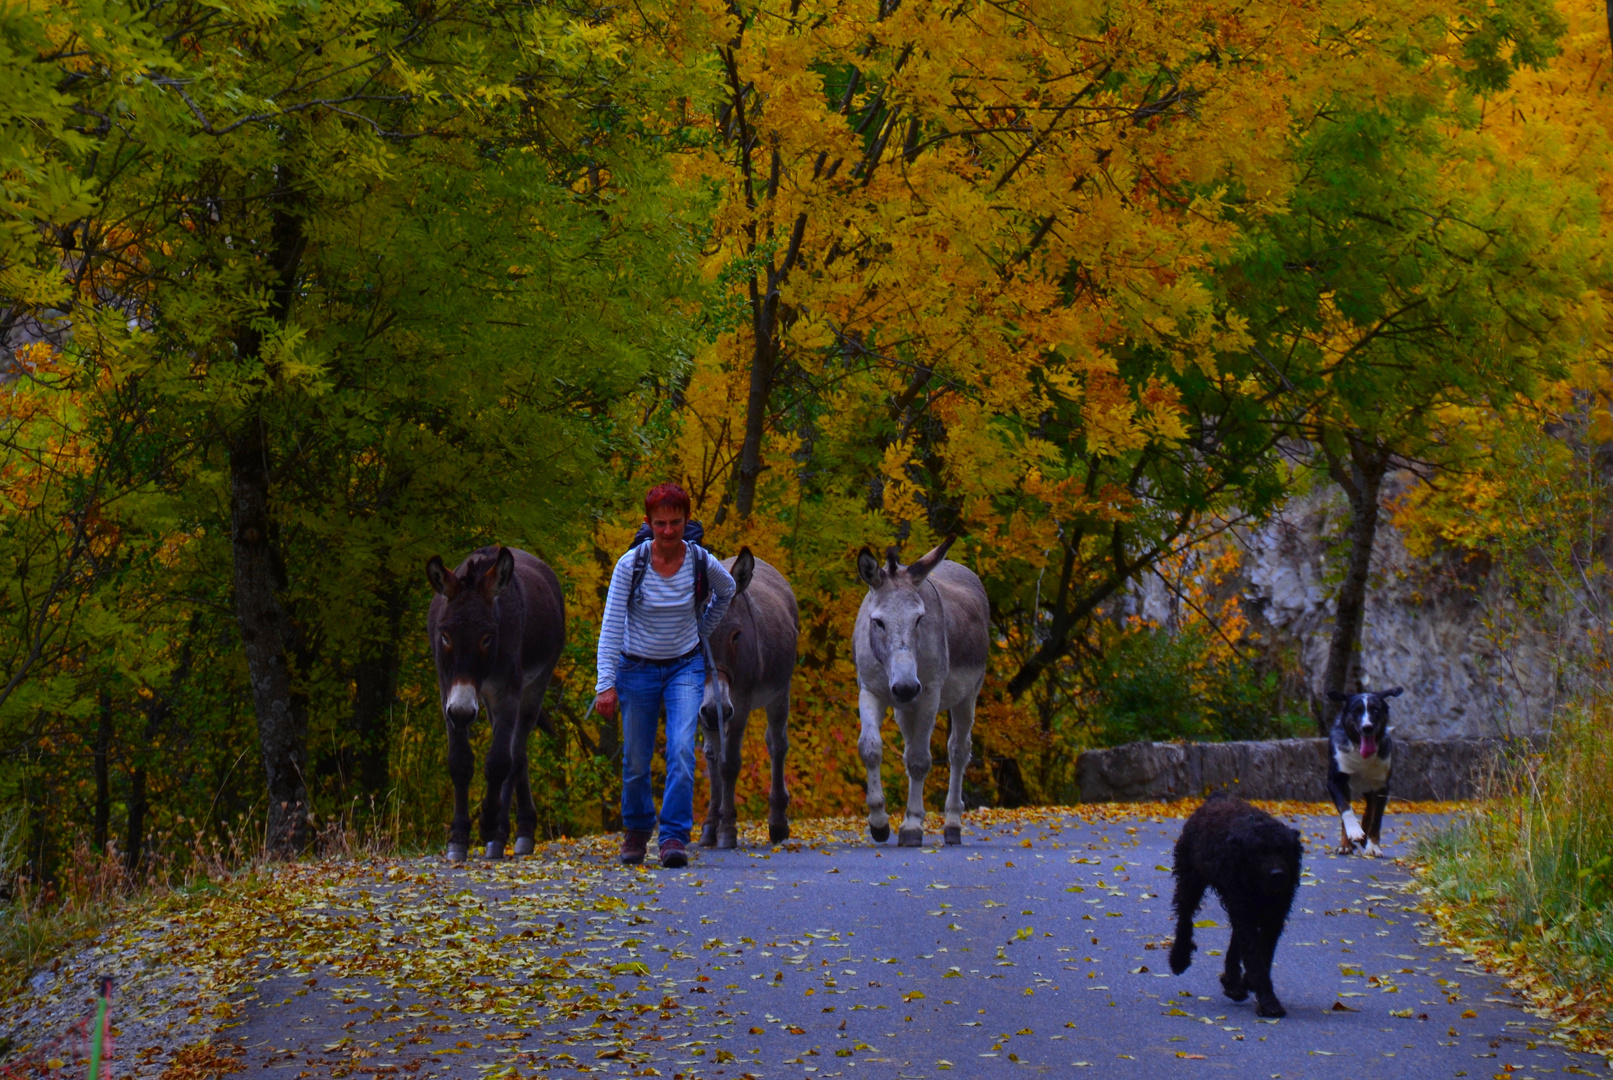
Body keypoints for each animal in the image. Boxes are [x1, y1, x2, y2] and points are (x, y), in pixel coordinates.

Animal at [1174, 796, 1309, 1018]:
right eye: (1259, 853)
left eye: (1282, 849)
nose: (1278, 874)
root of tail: (1216, 798)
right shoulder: (1245, 911)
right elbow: (1255, 957)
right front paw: (1269, 1001)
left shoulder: (1273, 917)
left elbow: (1263, 953)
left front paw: (1247, 983)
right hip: (1190, 881)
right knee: (1184, 919)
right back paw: (1179, 958)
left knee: (1235, 940)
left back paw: (1233, 982)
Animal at [1322, 689, 1400, 857]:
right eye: (1356, 711)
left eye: (1375, 710)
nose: (1367, 727)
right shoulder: (1335, 781)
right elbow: (1345, 809)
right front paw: (1354, 832)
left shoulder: (1382, 786)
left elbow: (1376, 818)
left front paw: (1373, 846)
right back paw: (1346, 844)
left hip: (1370, 788)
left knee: (1369, 810)